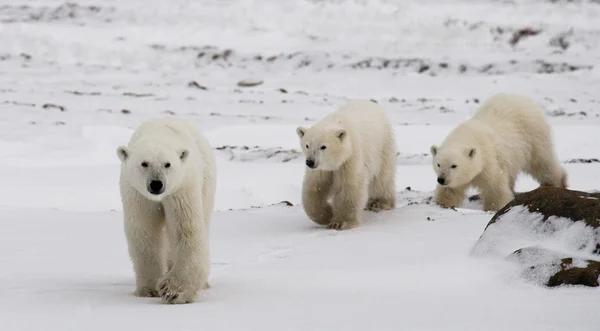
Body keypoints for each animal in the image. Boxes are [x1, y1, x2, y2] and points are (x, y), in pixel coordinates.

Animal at [115, 118, 216, 306]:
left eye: (167, 164)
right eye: (144, 163)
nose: (156, 184)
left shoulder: (182, 188)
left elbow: (186, 229)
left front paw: (173, 290)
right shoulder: (138, 194)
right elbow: (145, 232)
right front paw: (149, 289)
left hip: (207, 183)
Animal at [296, 100, 398, 232]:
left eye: (323, 146)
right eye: (307, 145)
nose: (310, 162)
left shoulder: (350, 159)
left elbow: (349, 188)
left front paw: (339, 223)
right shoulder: (321, 170)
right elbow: (314, 189)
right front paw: (327, 215)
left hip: (383, 147)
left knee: (382, 178)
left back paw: (379, 203)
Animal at [428, 92, 564, 213]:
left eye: (454, 165)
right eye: (438, 164)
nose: (441, 179)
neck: (467, 136)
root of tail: (521, 98)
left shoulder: (489, 161)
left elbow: (494, 187)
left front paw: (493, 208)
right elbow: (449, 191)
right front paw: (442, 204)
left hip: (533, 137)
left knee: (542, 162)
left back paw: (556, 183)